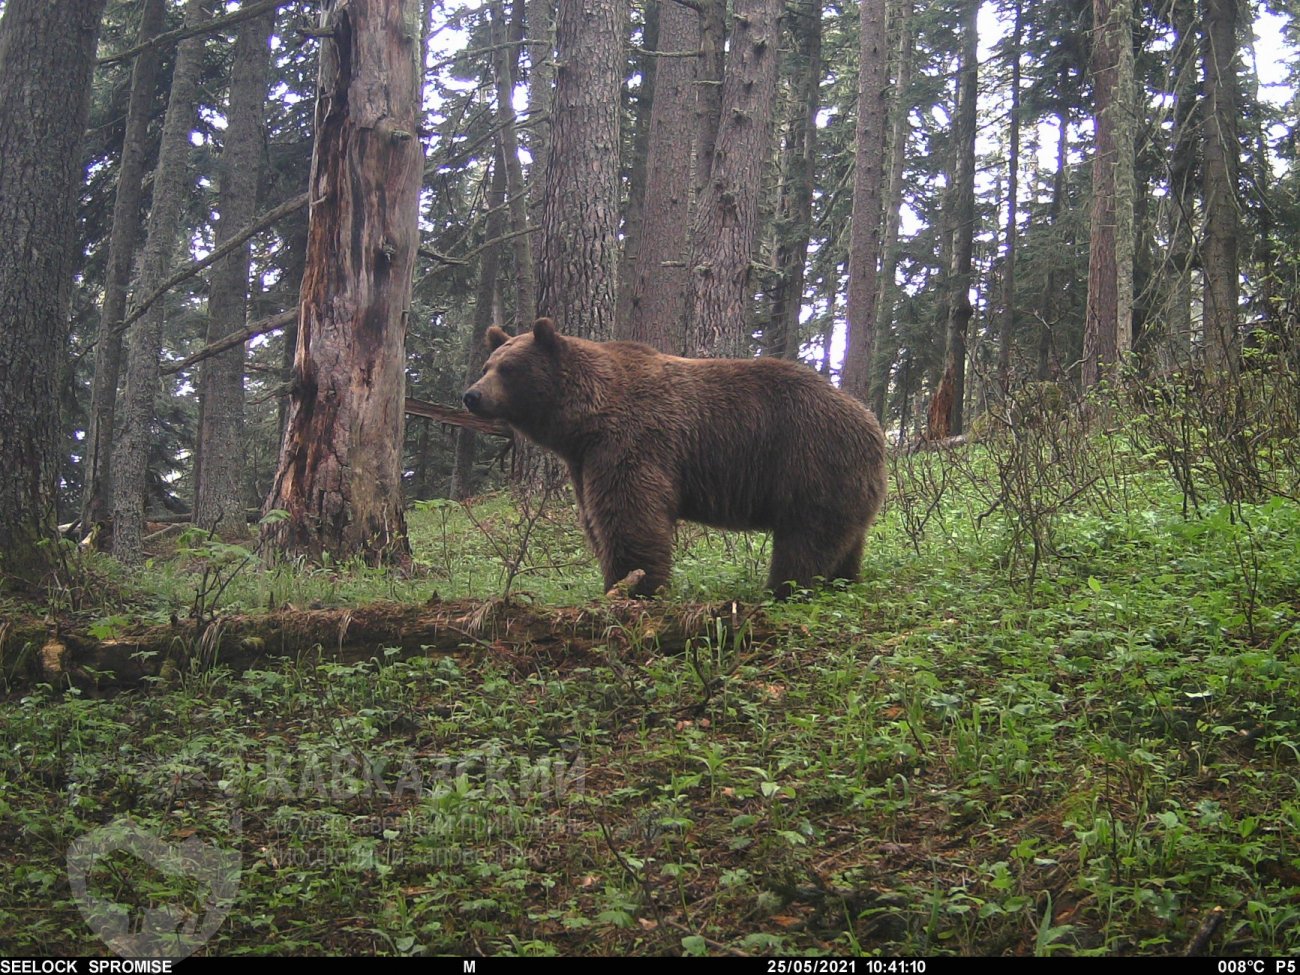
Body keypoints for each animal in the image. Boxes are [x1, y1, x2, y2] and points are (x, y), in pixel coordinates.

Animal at [462, 317, 889, 600]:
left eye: (509, 369)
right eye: (487, 366)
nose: (472, 395)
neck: (584, 422)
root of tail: (872, 424)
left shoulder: (634, 439)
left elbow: (630, 515)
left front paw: (636, 586)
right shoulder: (584, 461)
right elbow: (595, 520)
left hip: (809, 458)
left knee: (805, 539)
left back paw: (783, 589)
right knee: (845, 540)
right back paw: (843, 581)